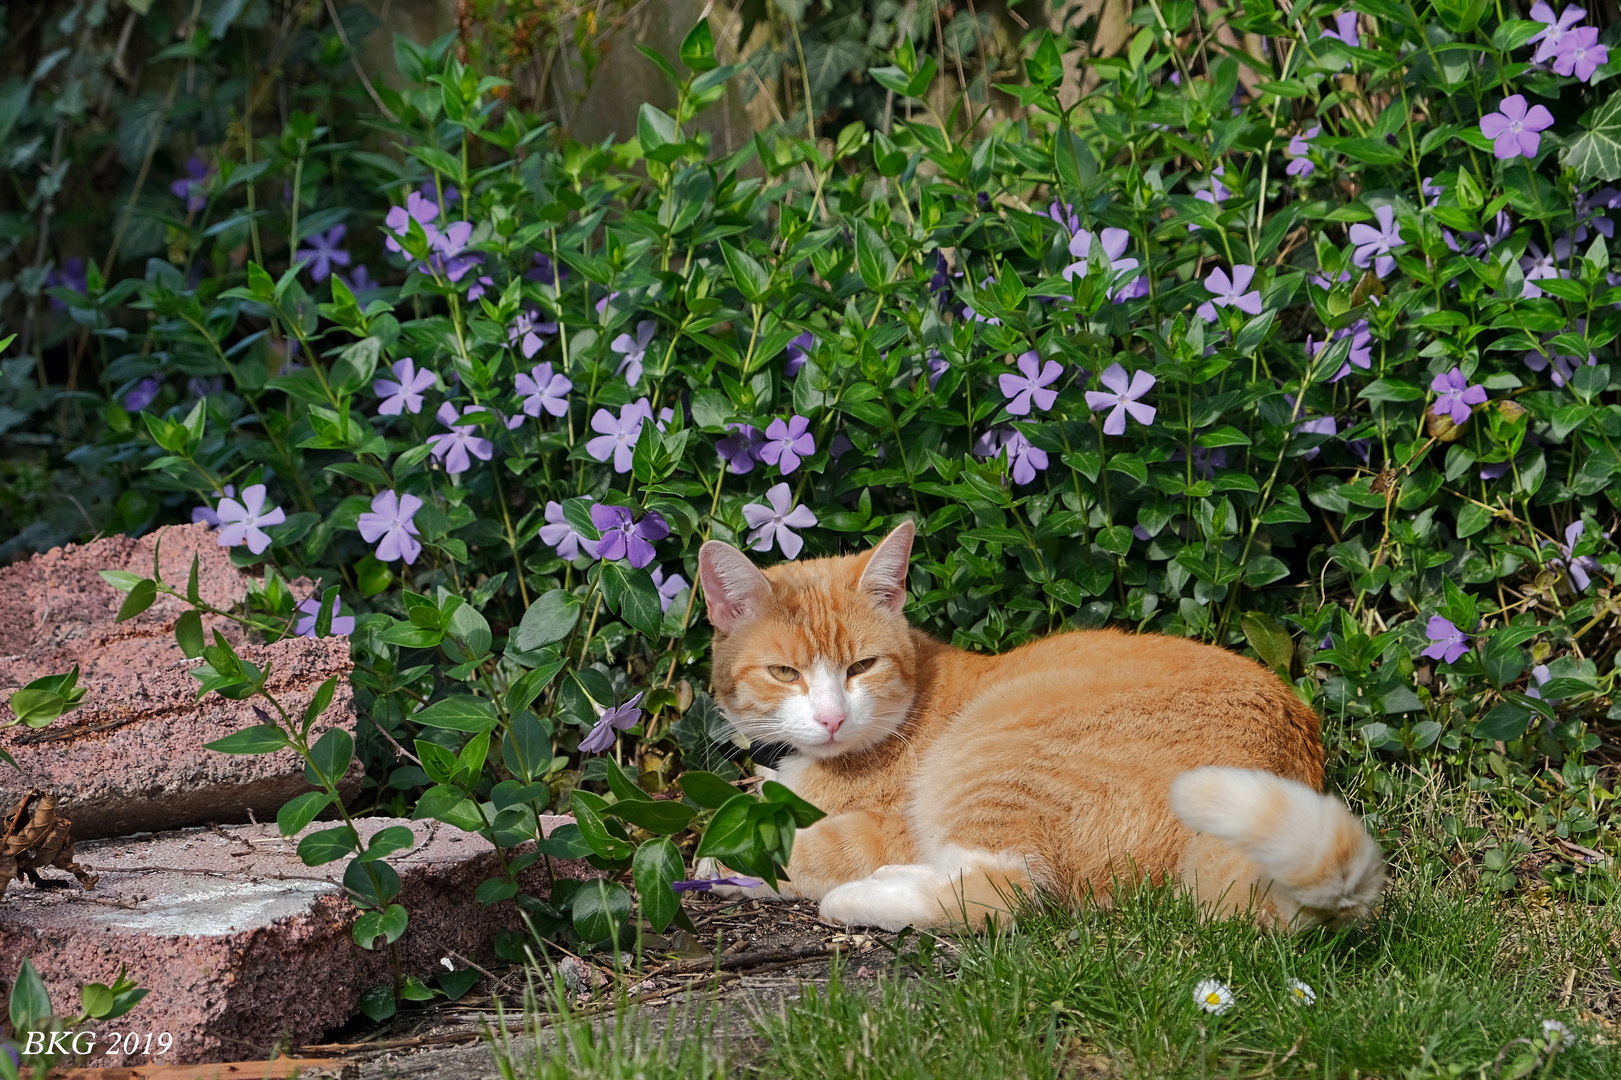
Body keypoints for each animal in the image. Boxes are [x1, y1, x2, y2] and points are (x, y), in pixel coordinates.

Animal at [693, 518, 1381, 927]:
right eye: (785, 673)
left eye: (862, 665)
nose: (833, 718)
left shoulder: (889, 824)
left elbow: (792, 846)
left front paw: (717, 864)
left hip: (992, 762)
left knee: (1008, 891)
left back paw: (863, 898)